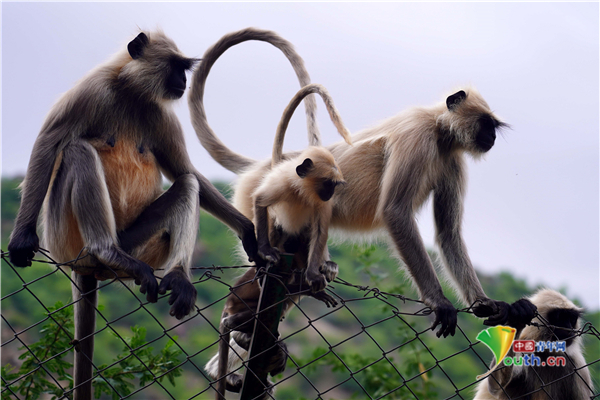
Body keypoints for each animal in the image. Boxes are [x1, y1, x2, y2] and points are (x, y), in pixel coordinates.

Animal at [186, 26, 536, 338]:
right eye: (486, 124)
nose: (491, 137)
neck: (440, 133)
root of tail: (268, 166)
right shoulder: (416, 135)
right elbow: (395, 211)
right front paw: (440, 303)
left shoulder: (452, 159)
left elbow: (448, 232)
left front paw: (489, 305)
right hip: (261, 202)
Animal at [207, 82, 352, 400]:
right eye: (328, 183)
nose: (331, 192)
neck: (303, 191)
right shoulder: (282, 185)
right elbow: (261, 202)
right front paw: (265, 252)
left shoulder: (322, 206)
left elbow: (320, 230)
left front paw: (315, 277)